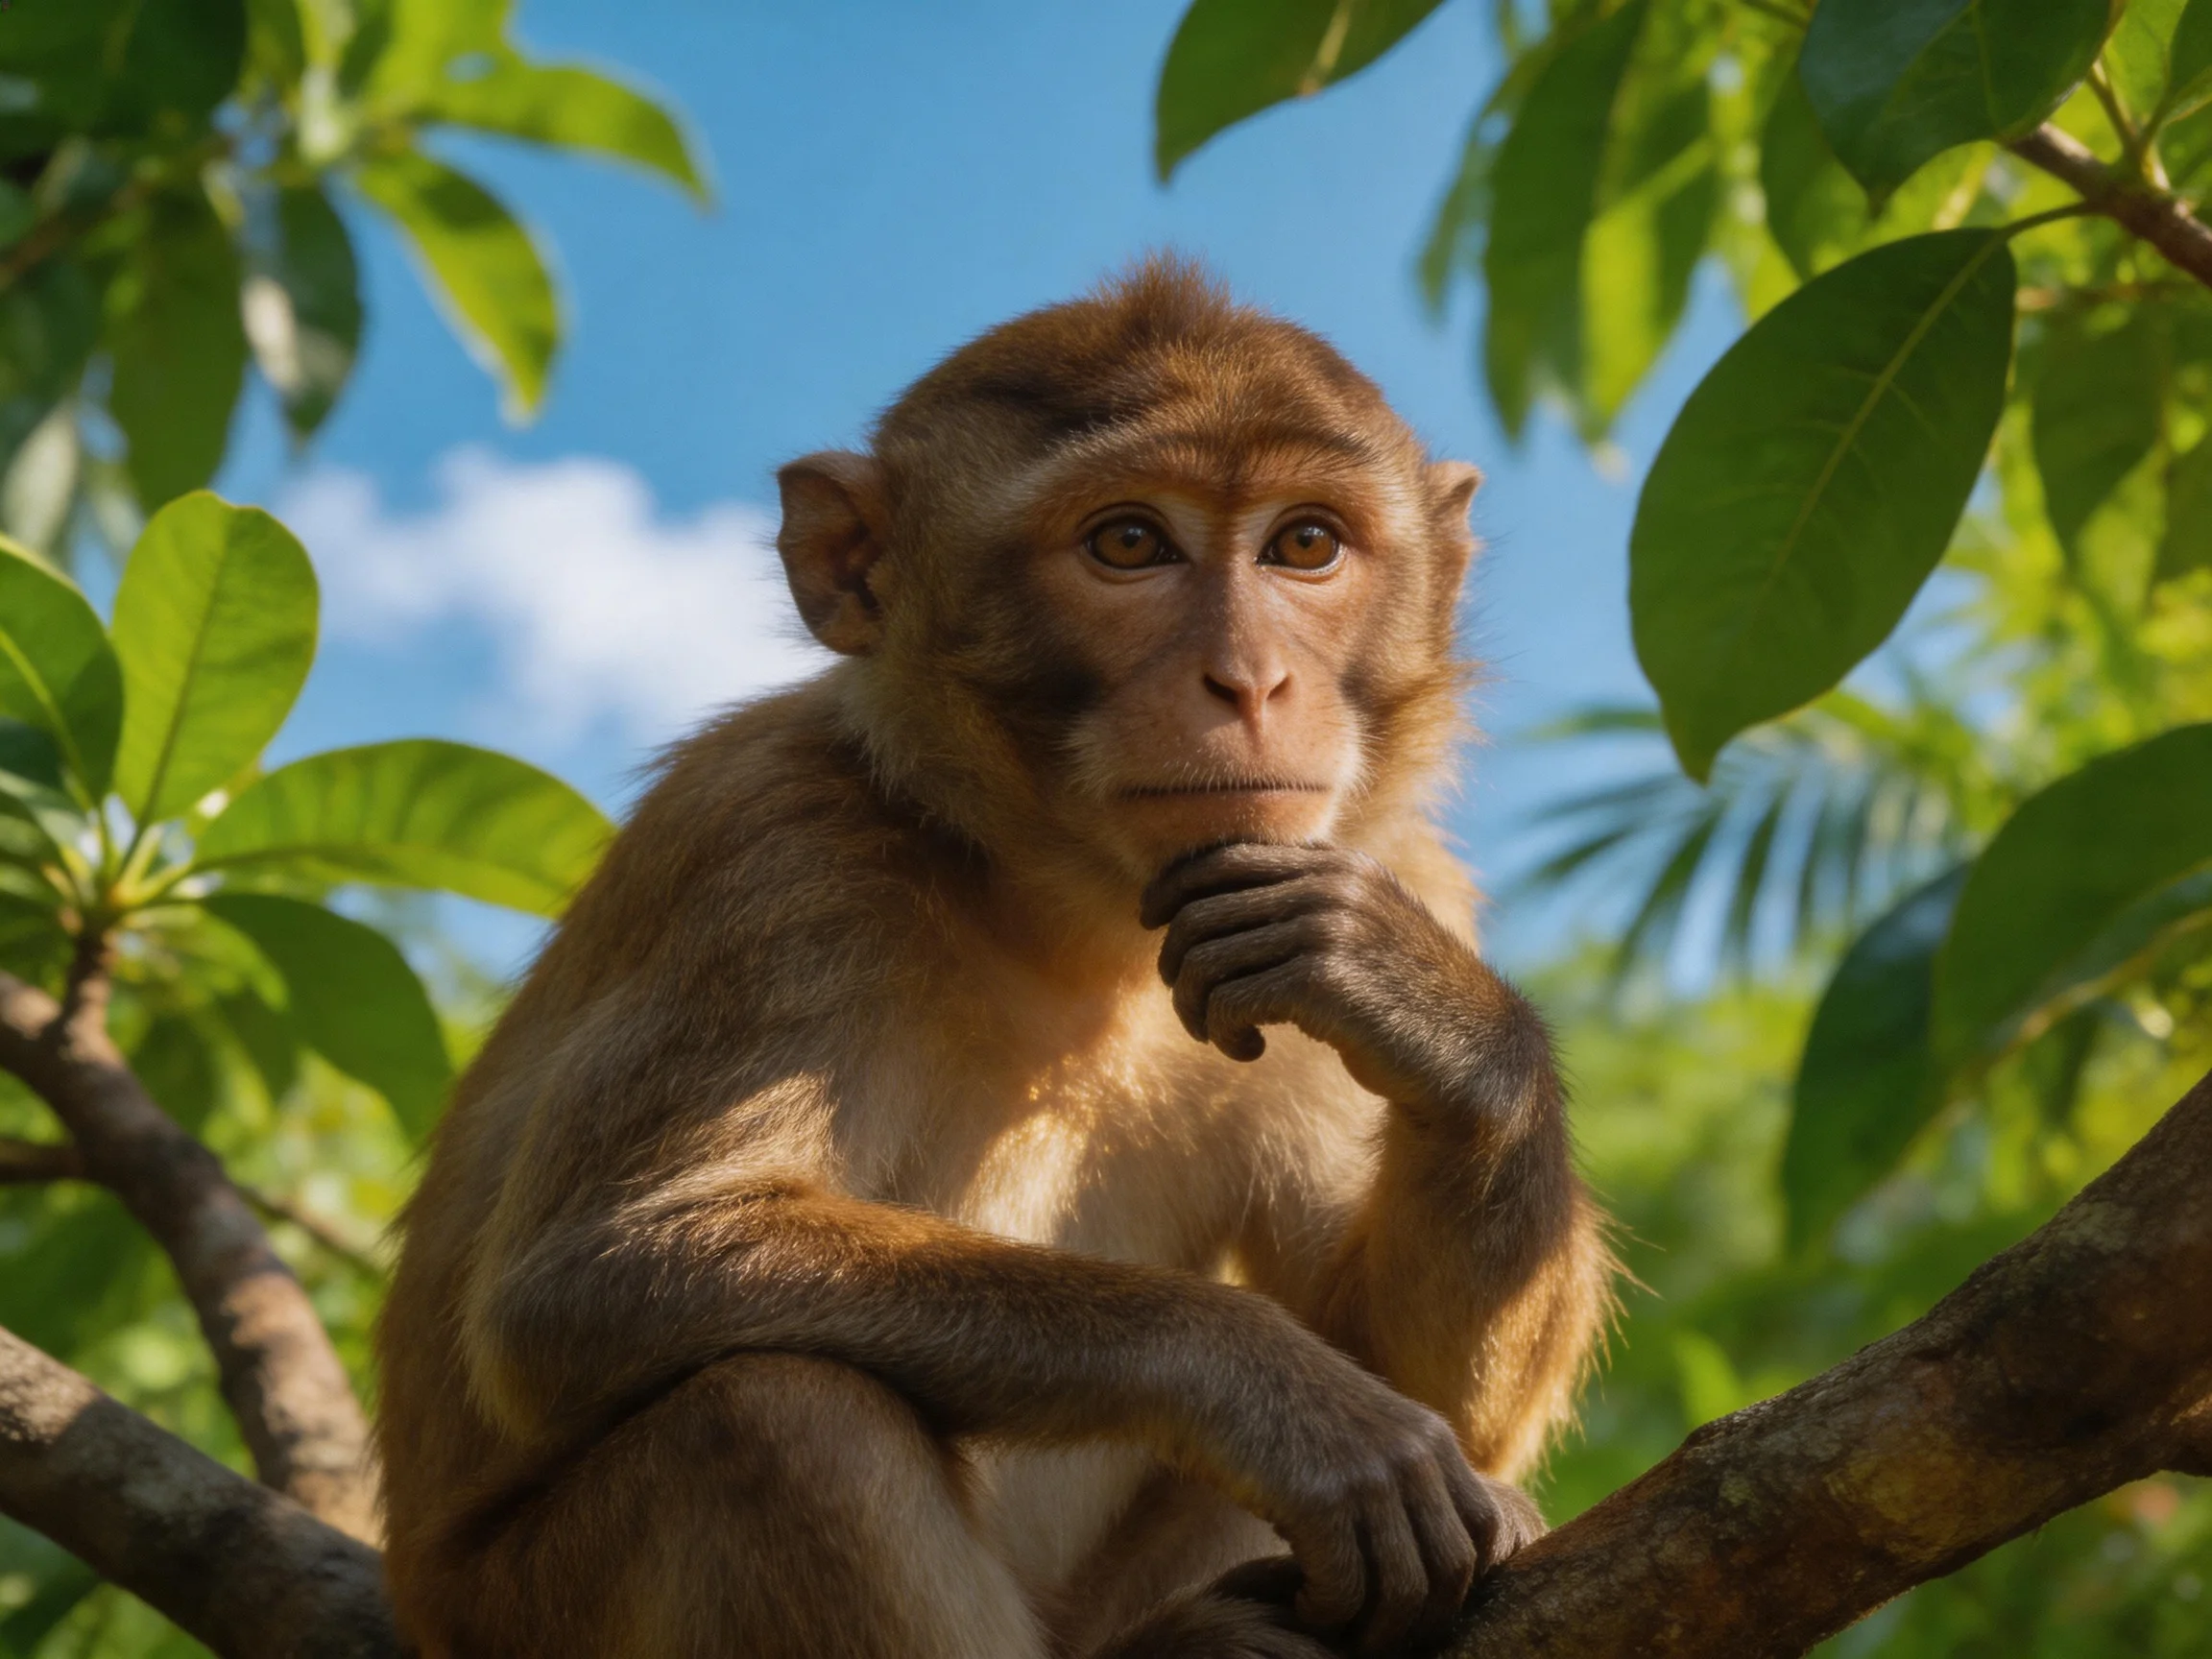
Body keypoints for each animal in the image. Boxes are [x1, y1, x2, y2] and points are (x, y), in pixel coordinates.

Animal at [373, 258, 1614, 1659]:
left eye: (1306, 544)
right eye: (1127, 543)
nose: (1249, 682)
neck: (1074, 924)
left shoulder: (1390, 863)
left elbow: (1415, 1376)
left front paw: (1442, 1028)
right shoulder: (767, 847)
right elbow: (586, 1277)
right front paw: (1272, 1389)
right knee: (772, 1421)